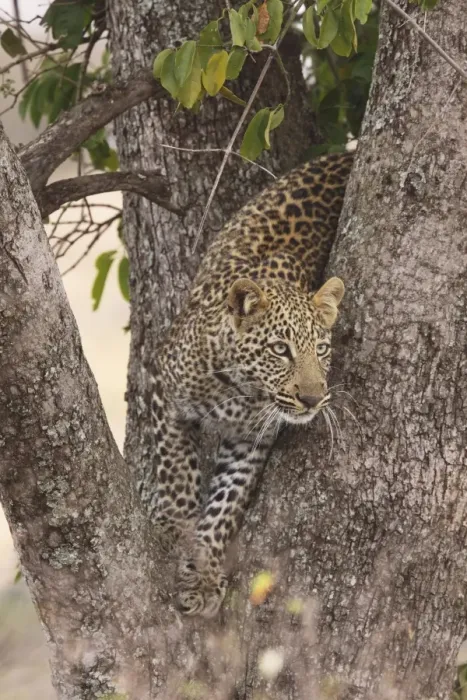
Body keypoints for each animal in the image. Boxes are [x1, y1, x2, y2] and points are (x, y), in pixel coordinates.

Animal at [140, 150, 354, 618]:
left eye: (321, 350)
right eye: (280, 350)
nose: (313, 399)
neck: (240, 391)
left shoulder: (249, 442)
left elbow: (226, 503)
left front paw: (203, 575)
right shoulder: (162, 381)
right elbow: (176, 464)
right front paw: (175, 523)